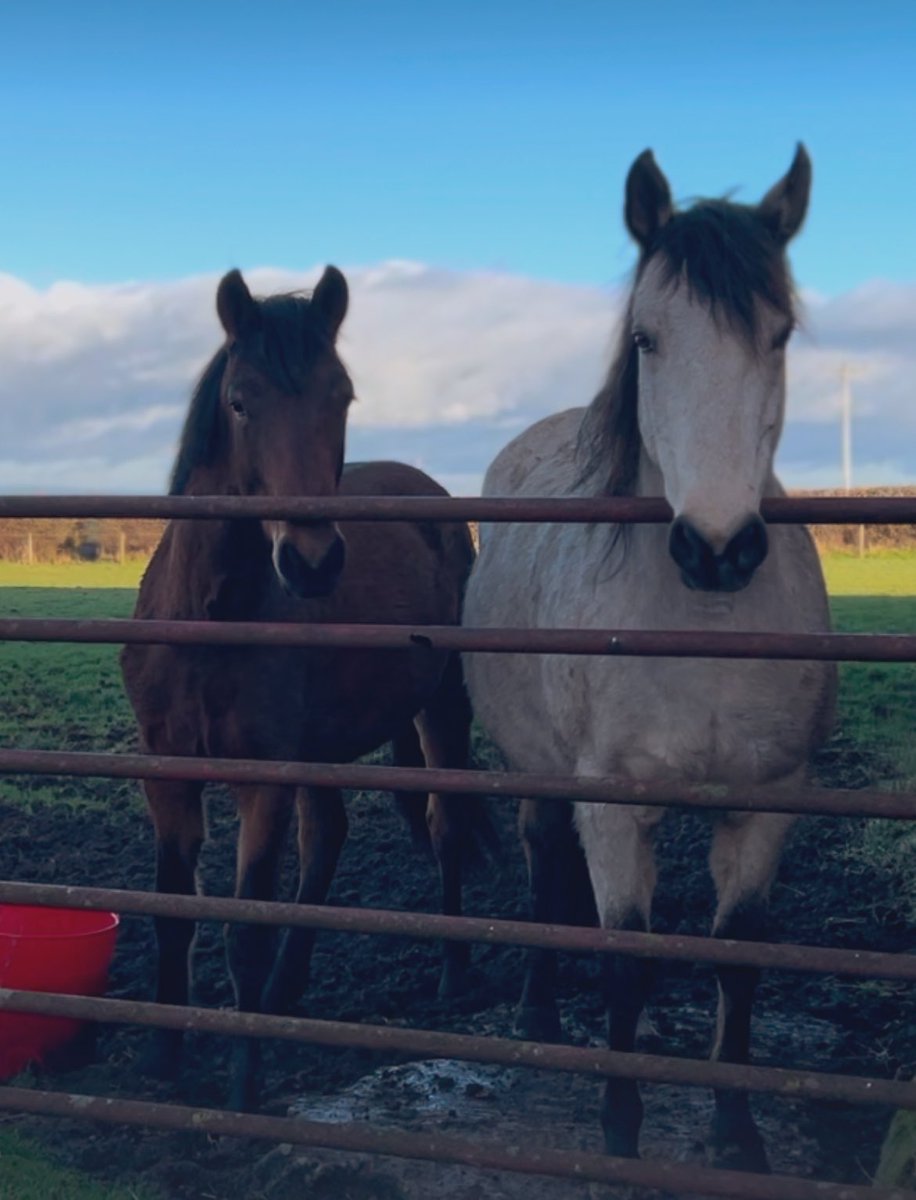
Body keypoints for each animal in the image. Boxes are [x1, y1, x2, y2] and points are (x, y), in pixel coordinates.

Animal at [121, 266, 482, 1112]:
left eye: (341, 397)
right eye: (239, 400)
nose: (313, 562)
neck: (210, 616)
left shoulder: (265, 782)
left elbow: (244, 930)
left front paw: (242, 1084)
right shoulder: (168, 776)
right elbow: (171, 914)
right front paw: (161, 1057)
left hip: (441, 708)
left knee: (447, 825)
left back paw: (454, 974)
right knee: (329, 840)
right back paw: (289, 990)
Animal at [462, 146, 837, 1172]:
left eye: (779, 335)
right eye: (646, 339)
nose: (717, 550)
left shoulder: (767, 803)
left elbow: (736, 961)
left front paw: (736, 1132)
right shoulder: (609, 803)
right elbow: (623, 958)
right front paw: (620, 1130)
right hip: (539, 774)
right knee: (544, 863)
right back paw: (540, 1011)